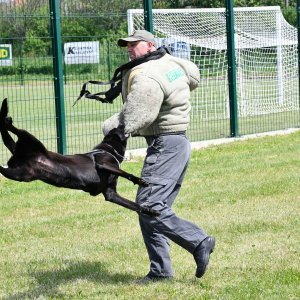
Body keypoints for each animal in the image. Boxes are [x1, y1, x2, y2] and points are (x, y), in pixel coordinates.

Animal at [0, 99, 158, 217]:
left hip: (19, 174)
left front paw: (150, 211)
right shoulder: (103, 164)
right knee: (15, 129)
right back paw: (7, 120)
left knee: (2, 167)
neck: (109, 149)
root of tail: (18, 151)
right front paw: (141, 181)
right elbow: (126, 173)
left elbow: (133, 205)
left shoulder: (111, 194)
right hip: (31, 140)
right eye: (119, 128)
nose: (122, 123)